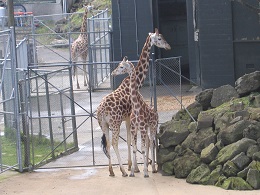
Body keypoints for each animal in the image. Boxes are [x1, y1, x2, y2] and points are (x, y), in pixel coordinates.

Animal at [97, 28, 171, 177]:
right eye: (159, 38)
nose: (168, 46)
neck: (137, 81)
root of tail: (100, 110)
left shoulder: (128, 119)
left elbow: (131, 141)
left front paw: (135, 166)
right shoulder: (128, 119)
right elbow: (132, 141)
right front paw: (135, 168)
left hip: (104, 125)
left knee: (107, 143)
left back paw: (112, 171)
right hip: (115, 123)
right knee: (114, 142)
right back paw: (123, 171)